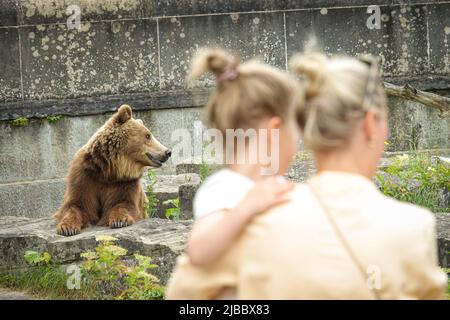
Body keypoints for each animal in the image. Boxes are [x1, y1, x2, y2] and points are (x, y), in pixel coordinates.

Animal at [52, 104, 171, 236]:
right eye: (148, 135)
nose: (167, 152)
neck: (109, 170)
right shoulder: (84, 176)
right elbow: (77, 205)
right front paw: (67, 228)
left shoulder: (125, 182)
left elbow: (124, 203)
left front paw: (119, 220)